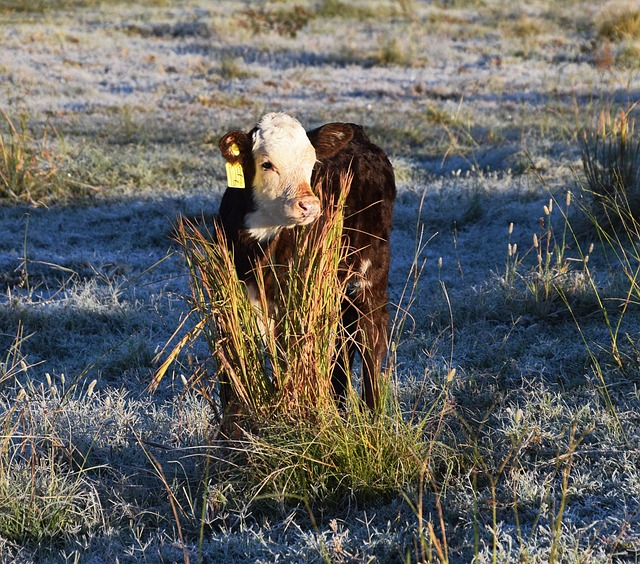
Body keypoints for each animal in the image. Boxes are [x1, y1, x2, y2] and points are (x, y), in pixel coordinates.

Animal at [218, 111, 396, 410]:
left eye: (311, 164)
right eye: (266, 164)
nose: (309, 206)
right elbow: (230, 361)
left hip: (372, 275)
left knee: (371, 338)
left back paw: (371, 412)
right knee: (342, 340)